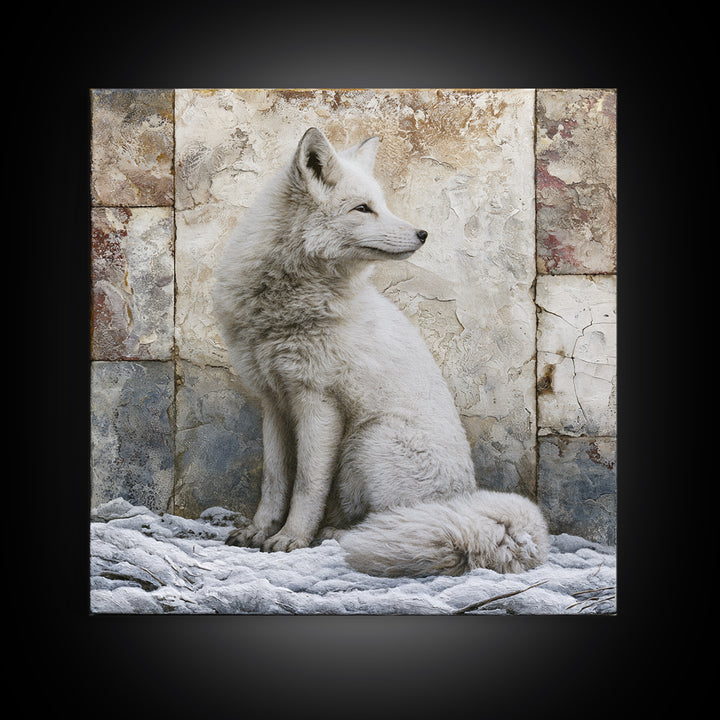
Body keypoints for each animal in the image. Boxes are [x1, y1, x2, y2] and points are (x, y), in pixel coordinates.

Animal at [213, 127, 550, 577]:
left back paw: (339, 535)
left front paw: (291, 538)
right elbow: (275, 480)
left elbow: (307, 484)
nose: (423, 234)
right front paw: (259, 530)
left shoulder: (319, 402)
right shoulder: (274, 401)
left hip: (367, 441)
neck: (286, 307)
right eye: (363, 208)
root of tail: (464, 499)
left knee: (387, 520)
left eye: (382, 205)